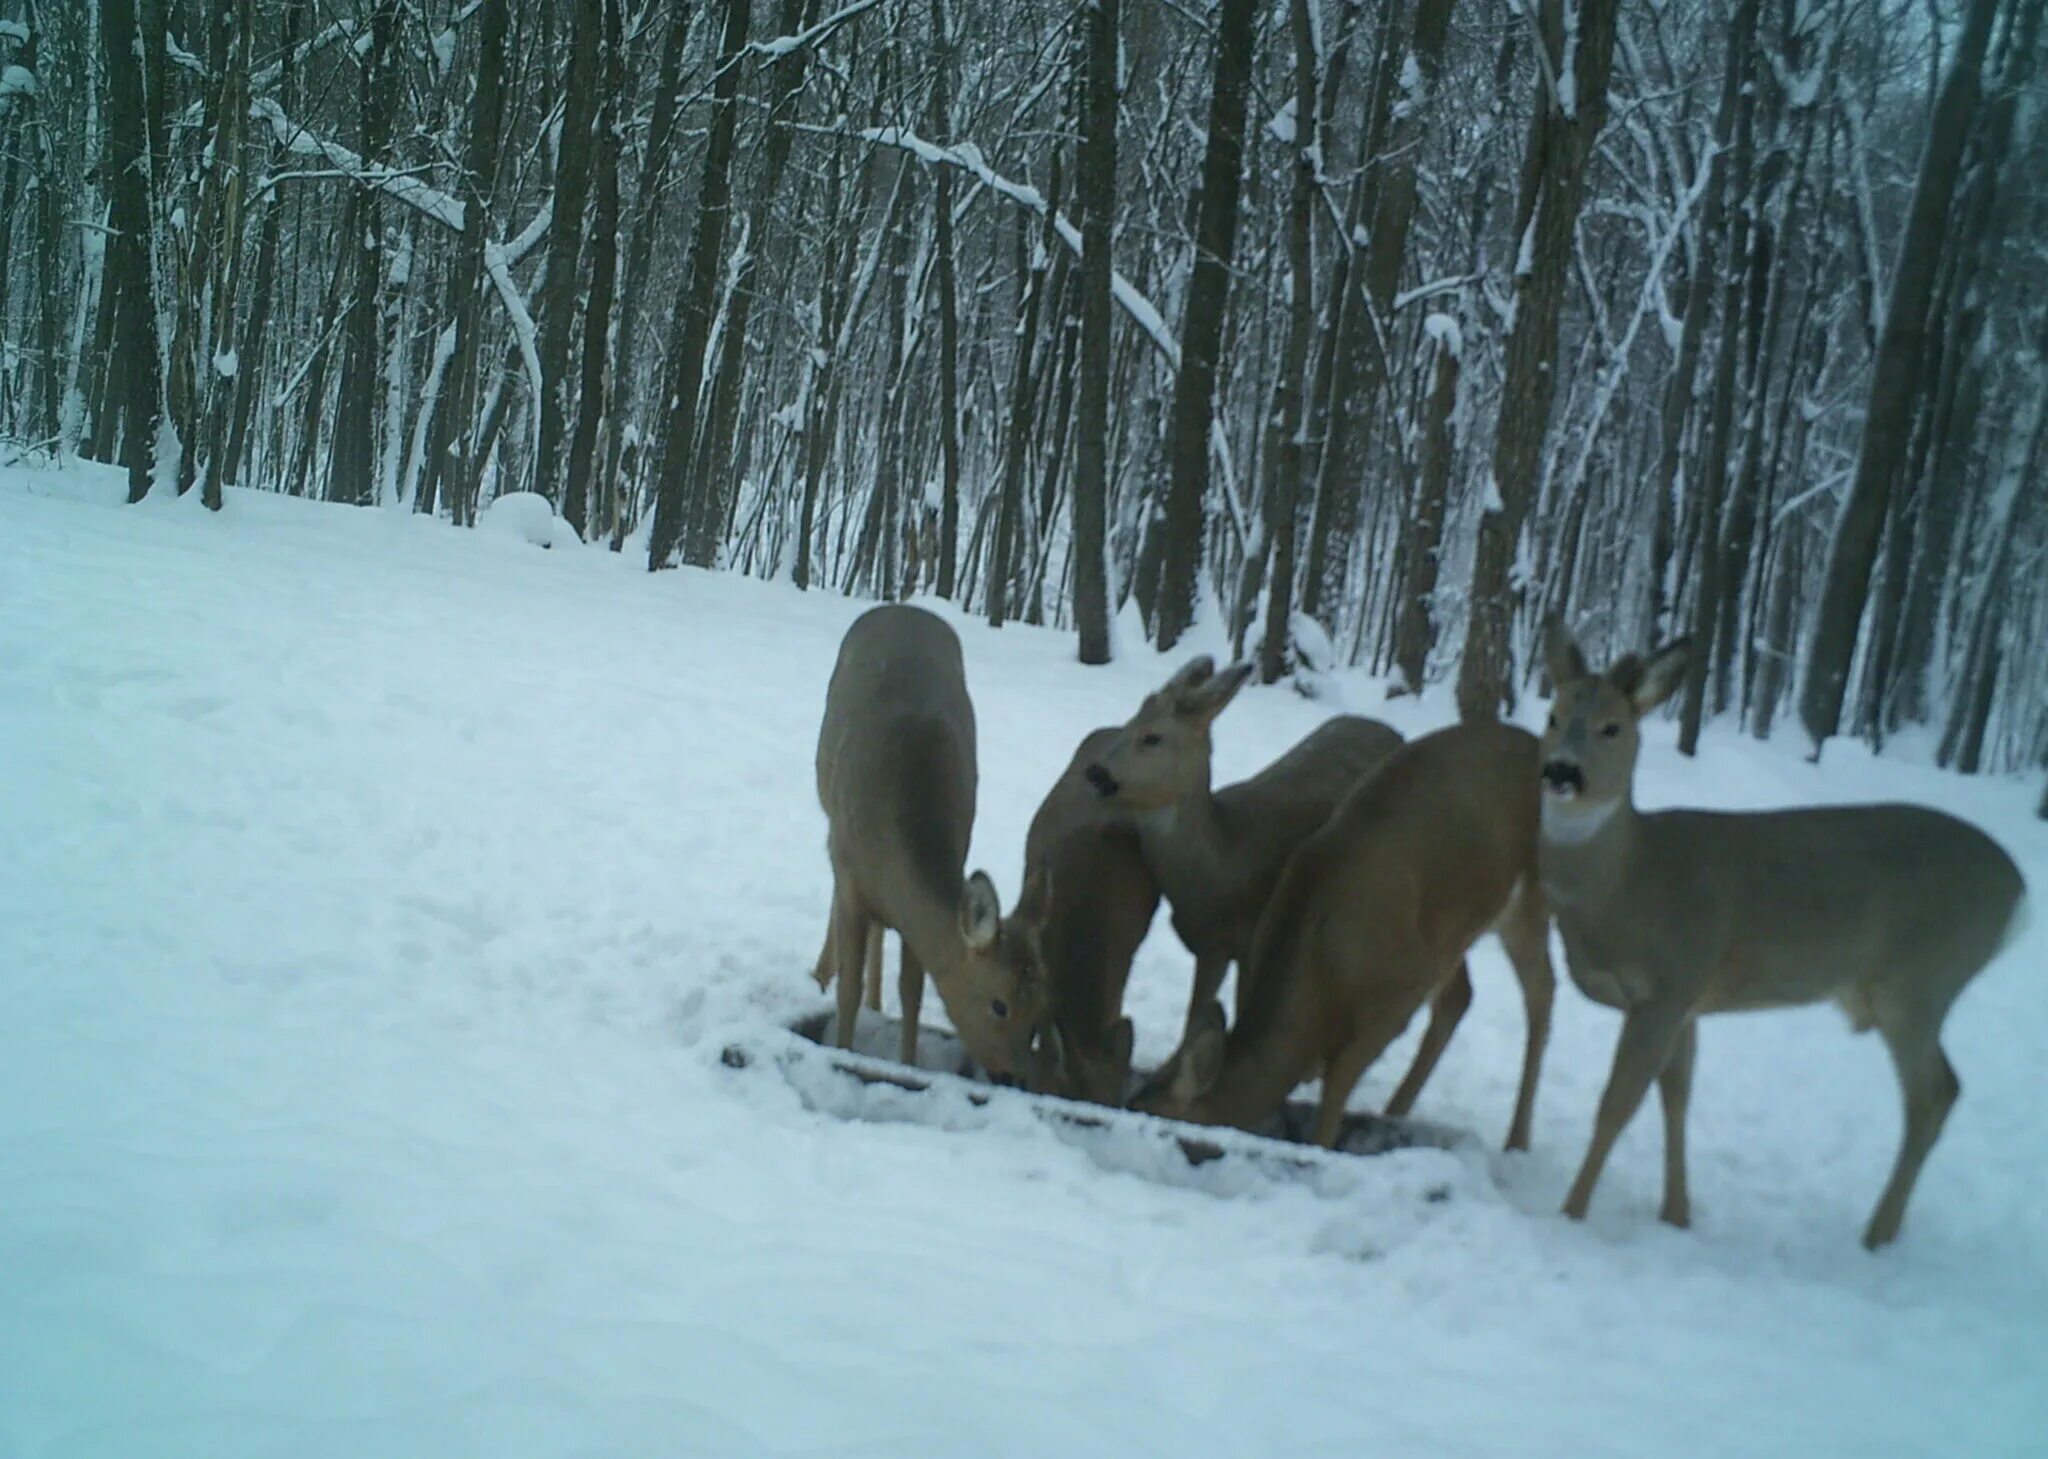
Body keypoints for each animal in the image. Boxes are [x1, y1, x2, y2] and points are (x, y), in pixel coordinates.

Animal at [811, 602, 1048, 1073]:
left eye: (1041, 1007)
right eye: (999, 1005)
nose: (1014, 1076)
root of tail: (904, 606)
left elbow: (912, 992)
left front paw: (906, 1063)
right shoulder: (850, 876)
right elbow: (848, 987)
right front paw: (843, 1050)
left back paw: (874, 1001)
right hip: (828, 806)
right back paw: (822, 972)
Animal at [1089, 655, 1409, 1040]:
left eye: (1152, 737)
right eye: (1128, 723)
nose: (1095, 773)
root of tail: (1394, 731)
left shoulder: (1250, 940)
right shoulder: (1210, 945)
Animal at [1122, 717, 1548, 1147]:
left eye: (1152, 1114)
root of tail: (1536, 743)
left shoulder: (1398, 994)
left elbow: (1337, 1084)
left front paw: (1322, 1143)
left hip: (1530, 897)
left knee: (1542, 994)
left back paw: (1516, 1141)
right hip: (1450, 930)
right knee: (1461, 996)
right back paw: (1395, 1111)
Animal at [1540, 622, 2031, 1245]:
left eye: (1612, 727)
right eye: (1552, 715)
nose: (1561, 771)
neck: (1625, 884)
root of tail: (2019, 892)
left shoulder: (1671, 980)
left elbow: (1617, 1104)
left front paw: (1570, 1213)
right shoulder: (1688, 1001)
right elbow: (1677, 1098)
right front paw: (1676, 1213)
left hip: (1921, 979)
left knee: (1935, 1093)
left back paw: (1876, 1235)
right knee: (1941, 1090)